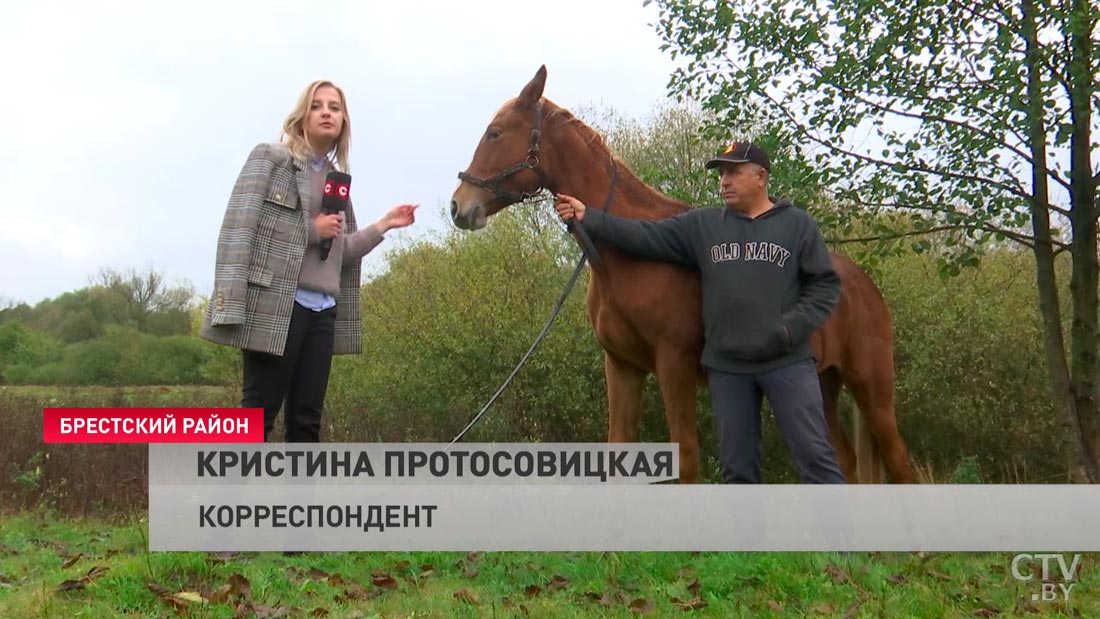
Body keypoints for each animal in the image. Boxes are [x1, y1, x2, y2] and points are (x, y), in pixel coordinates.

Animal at [446, 66, 910, 483]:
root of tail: (866, 288)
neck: (625, 262)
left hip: (873, 391)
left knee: (900, 463)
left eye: (495, 133)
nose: (458, 206)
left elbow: (686, 460)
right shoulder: (623, 367)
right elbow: (617, 450)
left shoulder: (673, 366)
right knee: (845, 462)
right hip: (824, 386)